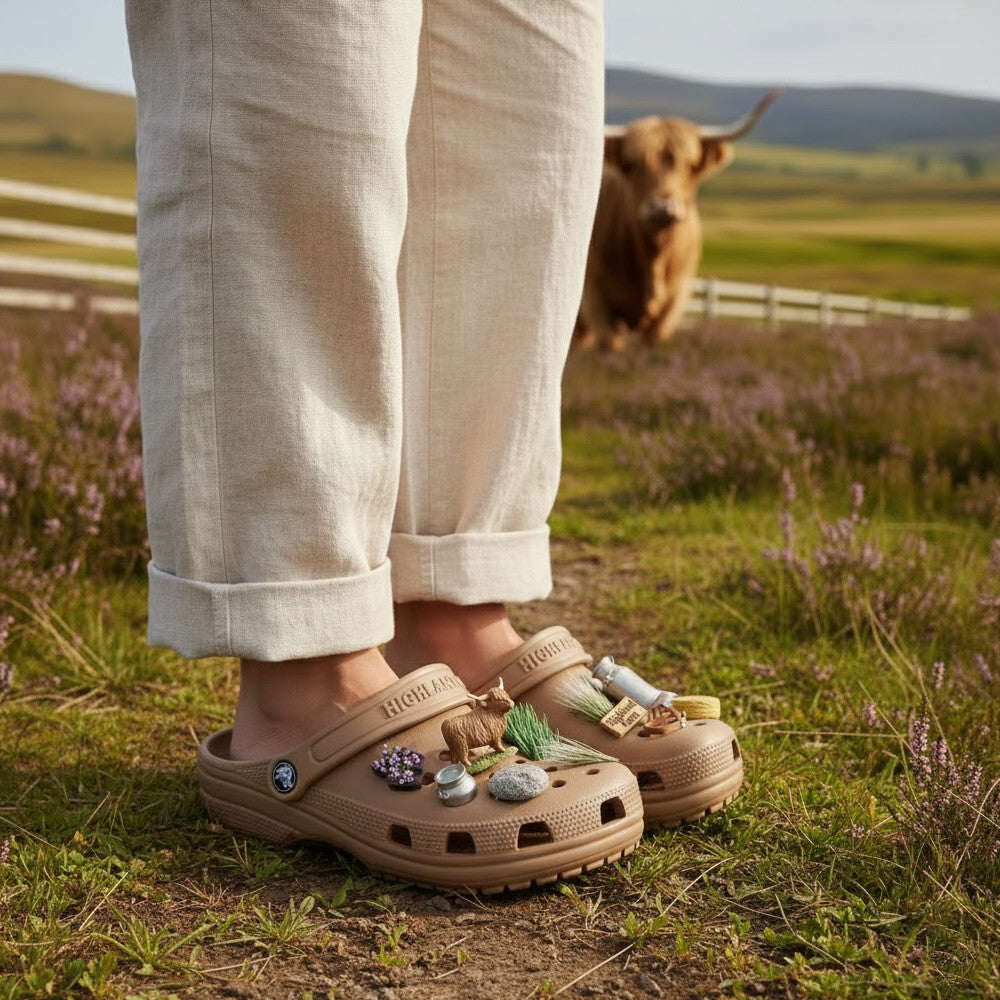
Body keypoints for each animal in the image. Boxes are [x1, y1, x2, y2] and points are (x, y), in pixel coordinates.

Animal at [577, 90, 781, 349]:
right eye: (632, 164)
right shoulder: (595, 296)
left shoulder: (676, 298)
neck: (653, 258)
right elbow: (610, 342)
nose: (662, 208)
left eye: (690, 165)